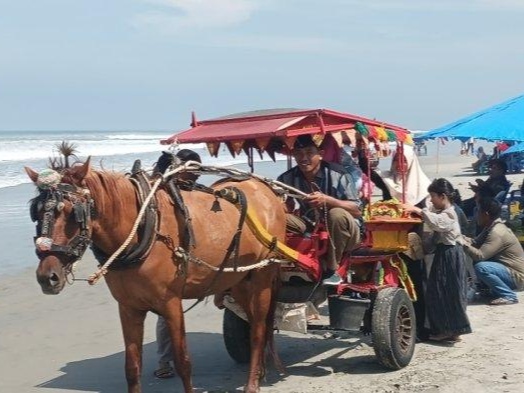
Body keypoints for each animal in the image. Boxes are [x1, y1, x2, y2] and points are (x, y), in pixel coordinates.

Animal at [24, 157, 286, 392]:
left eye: (72, 213)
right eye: (35, 212)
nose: (48, 277)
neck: (141, 230)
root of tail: (267, 190)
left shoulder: (171, 304)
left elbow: (183, 362)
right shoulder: (128, 307)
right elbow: (132, 367)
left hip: (263, 276)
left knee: (258, 330)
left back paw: (252, 384)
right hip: (240, 279)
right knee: (254, 322)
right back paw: (260, 372)